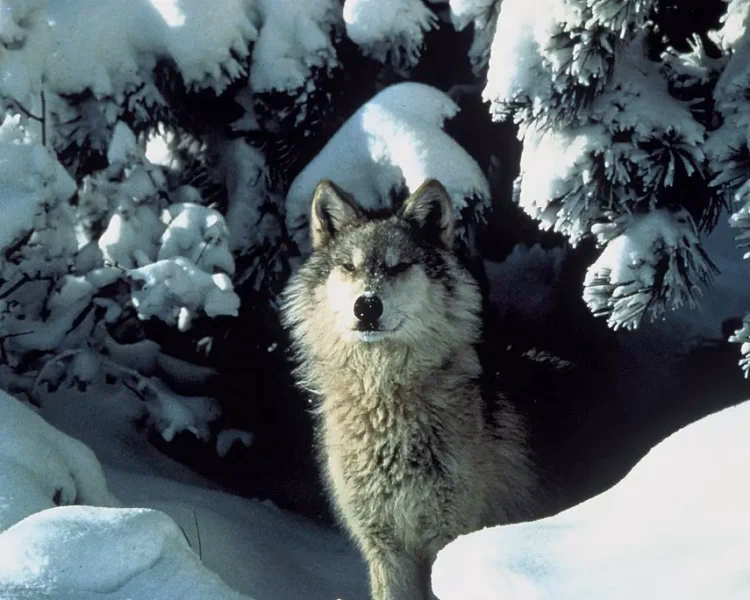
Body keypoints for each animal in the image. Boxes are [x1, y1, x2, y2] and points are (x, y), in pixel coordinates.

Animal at [281, 179, 537, 600]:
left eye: (398, 266)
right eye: (349, 267)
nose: (366, 306)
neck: (385, 399)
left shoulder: (447, 538)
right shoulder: (385, 549)